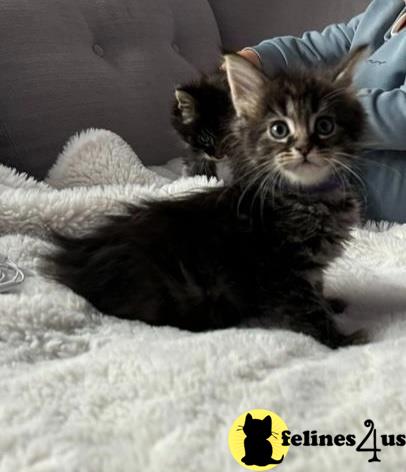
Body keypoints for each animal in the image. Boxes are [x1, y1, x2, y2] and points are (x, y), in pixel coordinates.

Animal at [45, 48, 368, 350]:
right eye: (279, 129)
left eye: (325, 126)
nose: (304, 148)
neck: (309, 197)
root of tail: (72, 260)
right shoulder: (283, 273)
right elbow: (308, 310)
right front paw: (341, 341)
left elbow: (318, 286)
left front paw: (331, 303)